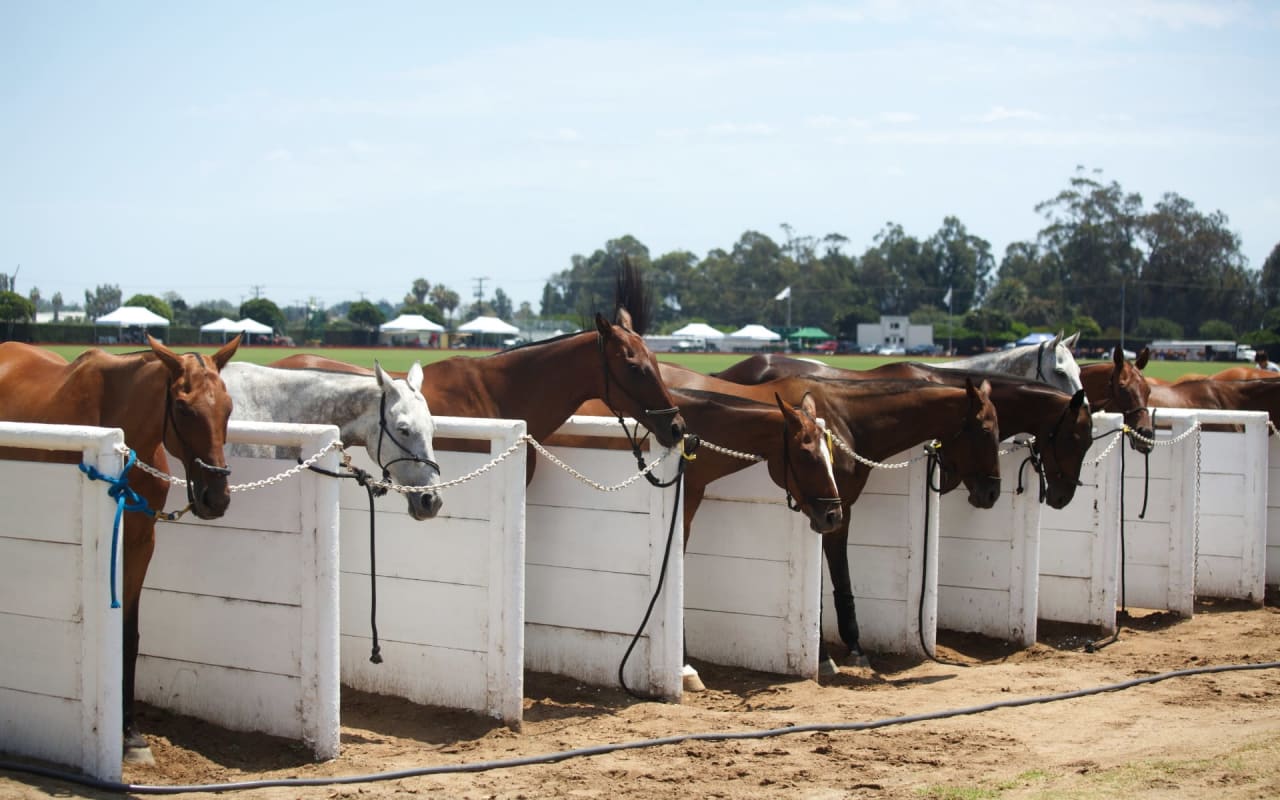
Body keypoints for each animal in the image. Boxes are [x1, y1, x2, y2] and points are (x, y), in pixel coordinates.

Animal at [0, 332, 240, 757]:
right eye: (182, 407)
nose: (216, 498)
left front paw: (129, 732)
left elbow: (130, 632)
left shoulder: (141, 541)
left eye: (228, 407)